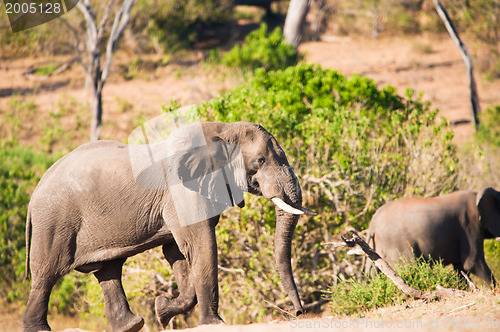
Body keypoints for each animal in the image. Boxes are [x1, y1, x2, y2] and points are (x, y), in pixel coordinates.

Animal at [23, 122, 314, 332]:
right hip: (55, 221)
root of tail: (34, 192)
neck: (223, 129)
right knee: (46, 274)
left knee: (108, 270)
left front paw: (162, 311)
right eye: (261, 161)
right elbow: (201, 244)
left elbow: (178, 253)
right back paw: (39, 328)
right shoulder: (182, 190)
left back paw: (132, 325)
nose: (299, 313)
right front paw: (213, 323)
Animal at [364, 188, 500, 286]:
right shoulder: (469, 226)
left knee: (373, 274)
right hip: (397, 244)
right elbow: (472, 263)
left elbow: (461, 268)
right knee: (410, 268)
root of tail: (373, 223)